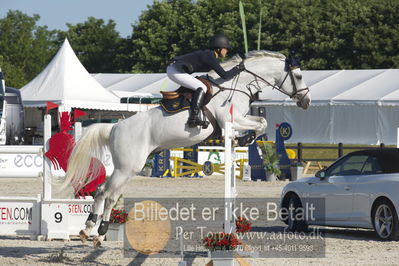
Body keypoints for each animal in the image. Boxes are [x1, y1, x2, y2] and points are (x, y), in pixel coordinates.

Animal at [63, 50, 312, 247]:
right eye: (299, 76)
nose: (306, 101)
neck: (237, 85)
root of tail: (115, 127)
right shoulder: (231, 120)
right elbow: (261, 123)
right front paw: (244, 139)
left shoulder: (241, 118)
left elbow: (262, 122)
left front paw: (243, 140)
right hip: (126, 167)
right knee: (104, 192)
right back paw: (89, 229)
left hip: (129, 169)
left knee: (110, 195)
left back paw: (98, 233)